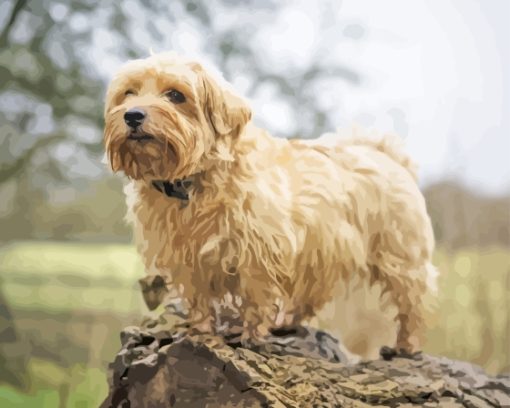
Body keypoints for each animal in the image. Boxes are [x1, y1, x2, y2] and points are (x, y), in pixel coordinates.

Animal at [103, 51, 438, 356]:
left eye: (175, 94)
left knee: (413, 302)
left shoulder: (258, 251)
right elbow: (199, 298)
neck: (194, 181)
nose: (132, 115)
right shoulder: (186, 258)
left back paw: (406, 345)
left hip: (400, 257)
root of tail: (386, 154)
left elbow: (256, 297)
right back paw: (286, 321)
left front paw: (251, 336)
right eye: (129, 93)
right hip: (320, 256)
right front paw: (200, 330)